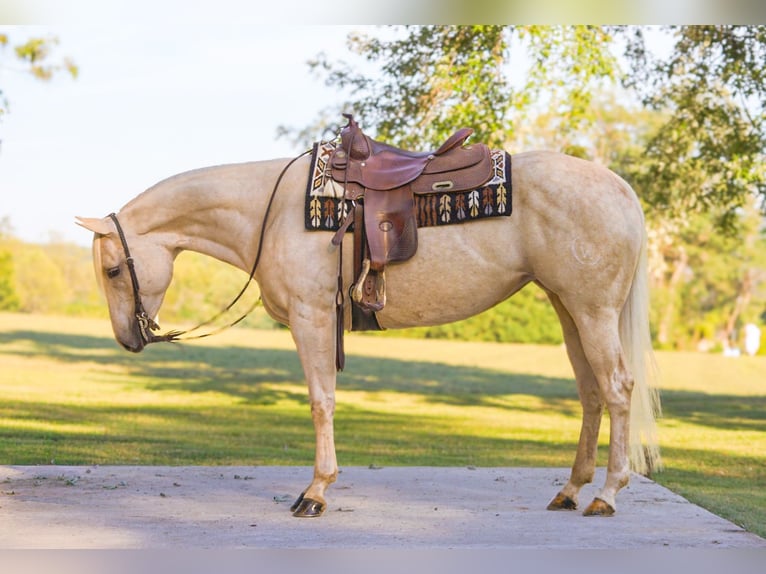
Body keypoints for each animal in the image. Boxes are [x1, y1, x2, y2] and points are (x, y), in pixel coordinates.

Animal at [76, 148, 661, 518]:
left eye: (112, 270)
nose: (128, 339)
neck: (270, 210)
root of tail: (621, 189)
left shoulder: (313, 317)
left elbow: (321, 402)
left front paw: (315, 493)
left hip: (593, 310)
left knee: (617, 389)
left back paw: (607, 494)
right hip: (570, 309)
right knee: (591, 394)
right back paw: (570, 490)